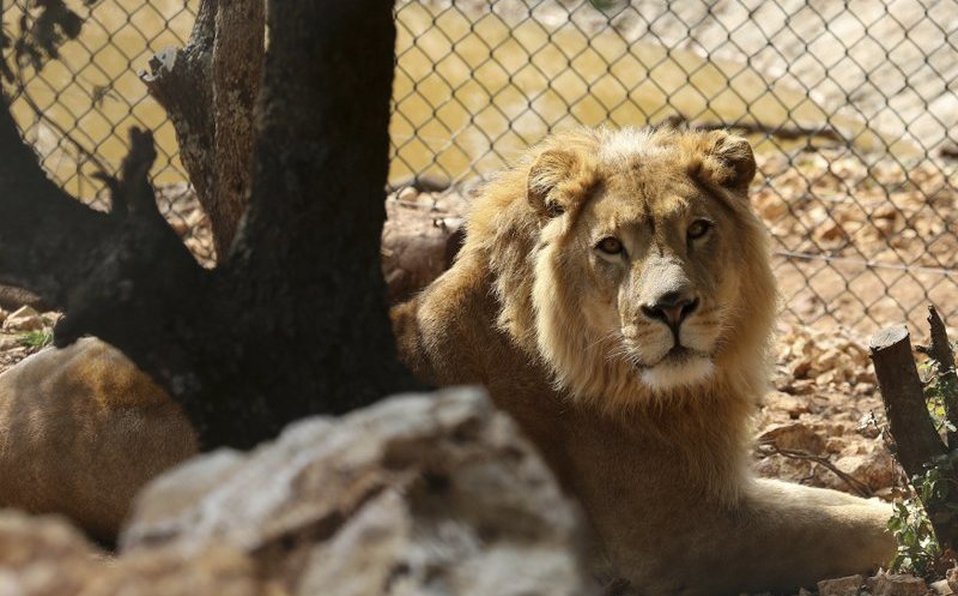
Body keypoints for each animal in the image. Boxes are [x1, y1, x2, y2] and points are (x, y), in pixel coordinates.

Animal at [390, 126, 895, 594]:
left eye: (697, 229)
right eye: (611, 246)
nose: (671, 306)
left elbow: (825, 500)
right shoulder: (679, 540)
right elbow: (851, 530)